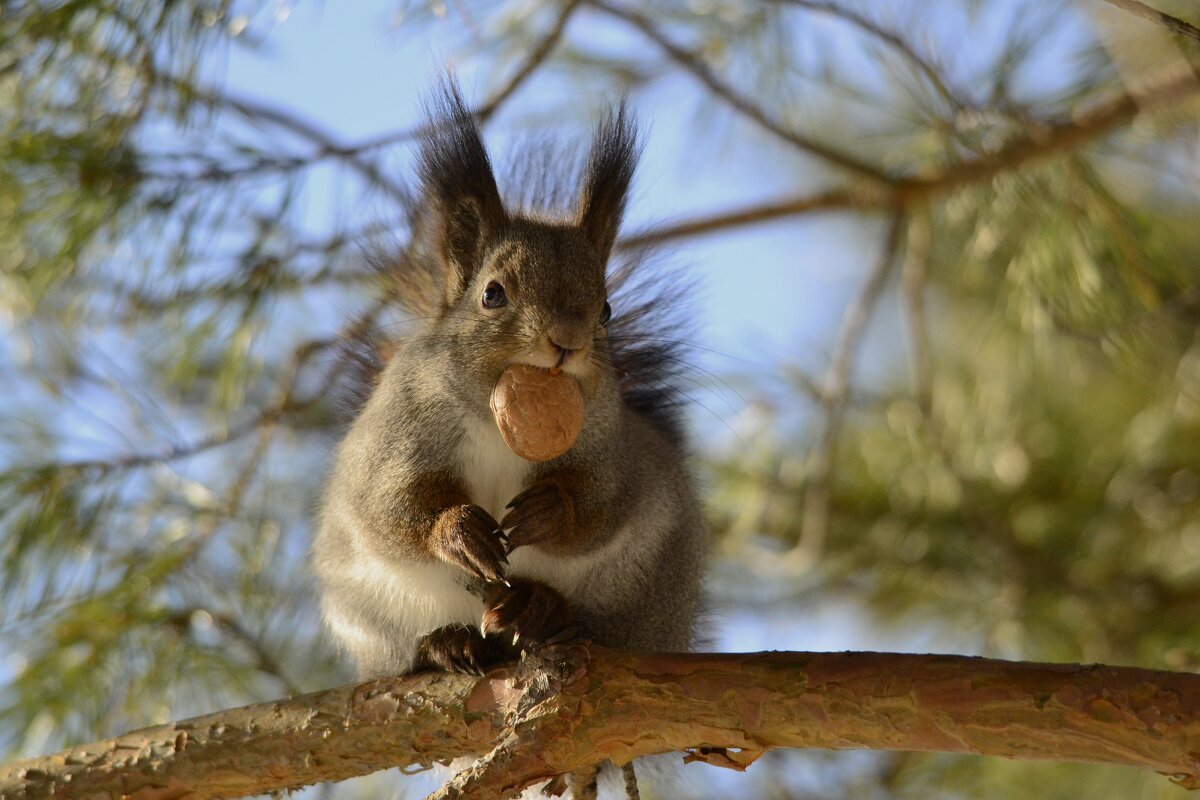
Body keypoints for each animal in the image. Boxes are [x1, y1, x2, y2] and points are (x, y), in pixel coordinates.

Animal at [309, 84, 705, 681]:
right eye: (492, 294)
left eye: (607, 310)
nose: (567, 341)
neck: (500, 424)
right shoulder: (397, 431)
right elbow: (389, 506)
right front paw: (457, 531)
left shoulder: (610, 448)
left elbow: (603, 504)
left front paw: (551, 511)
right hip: (369, 615)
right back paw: (446, 643)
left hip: (642, 595)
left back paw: (540, 609)